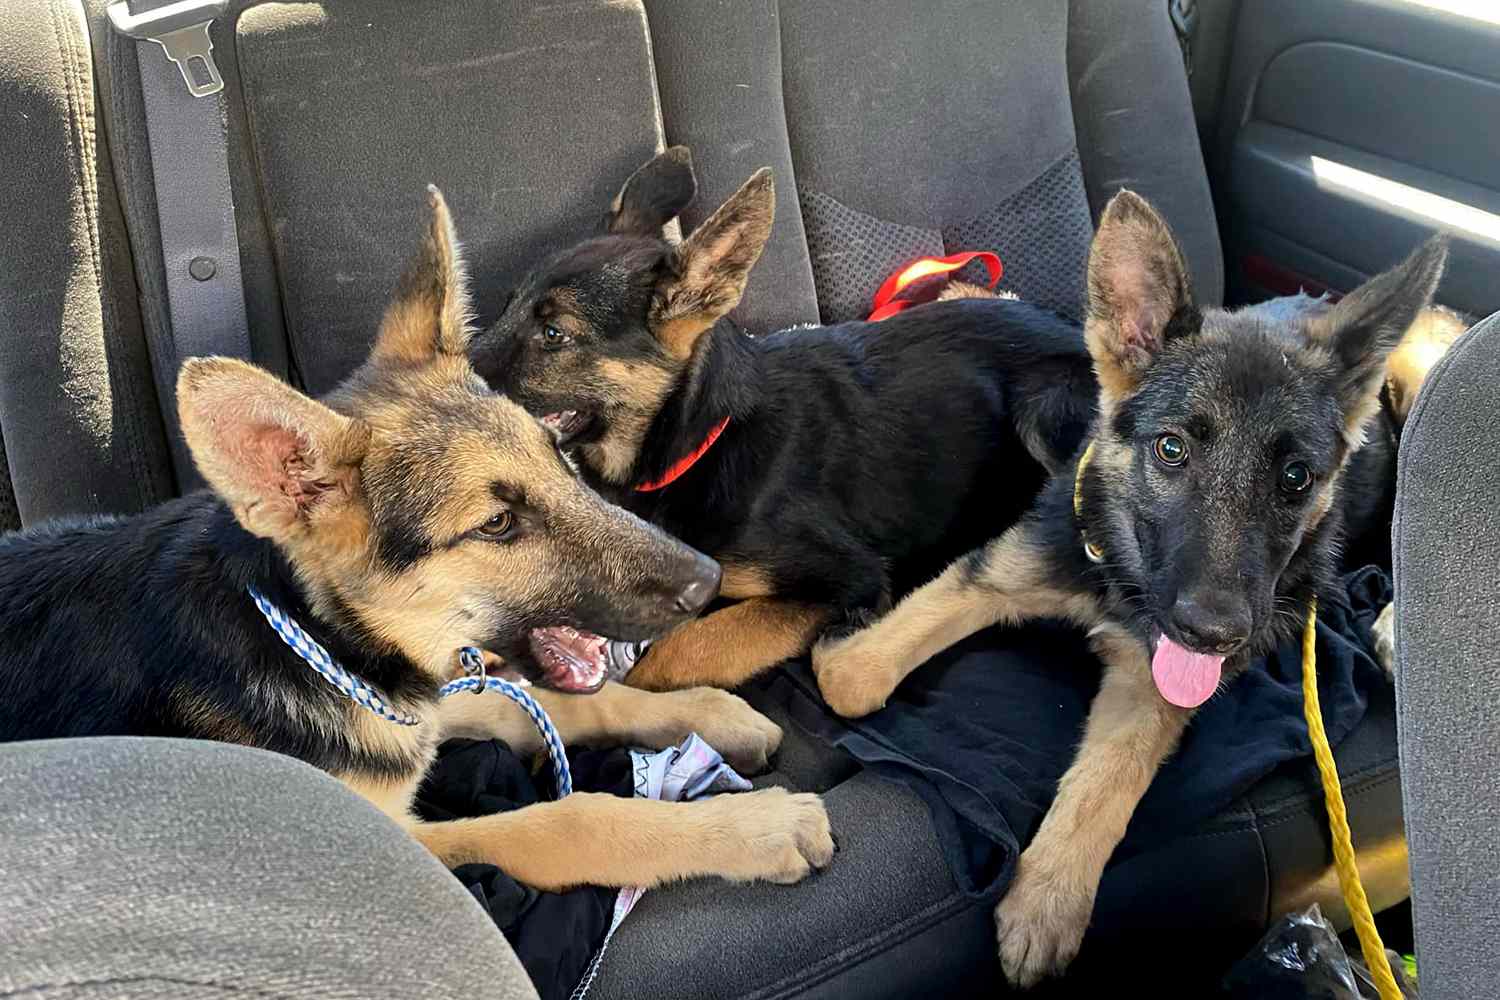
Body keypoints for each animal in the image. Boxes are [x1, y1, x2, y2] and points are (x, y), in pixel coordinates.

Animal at [0, 191, 834, 893]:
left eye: (558, 457)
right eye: (496, 524)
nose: (706, 579)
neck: (311, 638)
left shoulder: (436, 699)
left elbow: (555, 705)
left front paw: (710, 712)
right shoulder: (400, 840)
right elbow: (566, 822)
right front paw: (753, 827)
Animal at [468, 148, 1092, 692]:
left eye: (554, 334)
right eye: (506, 305)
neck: (701, 444)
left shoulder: (843, 581)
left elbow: (678, 651)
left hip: (1045, 399)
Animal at [816, 191, 1446, 989]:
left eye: (1296, 478)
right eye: (1171, 449)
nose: (1214, 633)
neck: (1123, 577)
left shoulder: (1153, 686)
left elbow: (1106, 784)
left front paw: (1046, 902)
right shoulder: (1008, 567)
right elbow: (853, 678)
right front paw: (842, 643)